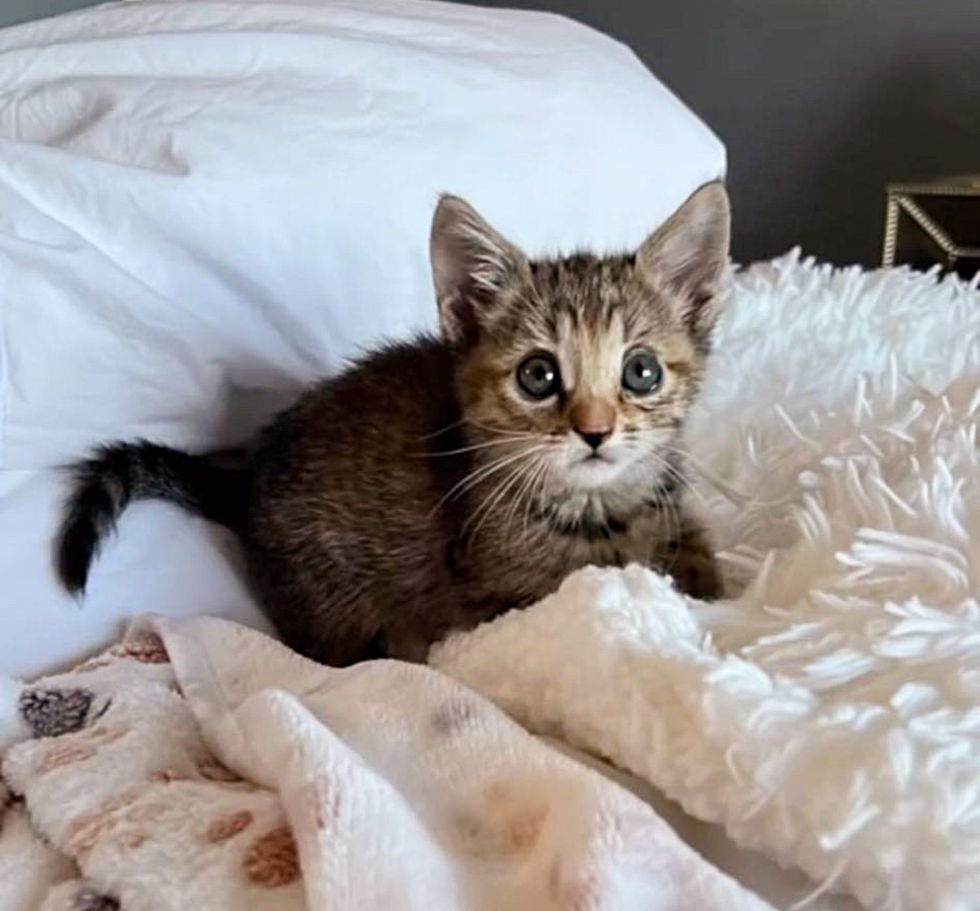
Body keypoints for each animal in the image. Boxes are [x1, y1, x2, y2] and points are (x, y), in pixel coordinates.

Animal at [53, 185, 728, 668]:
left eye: (641, 372)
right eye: (538, 376)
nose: (594, 430)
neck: (601, 510)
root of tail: (245, 480)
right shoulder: (499, 602)